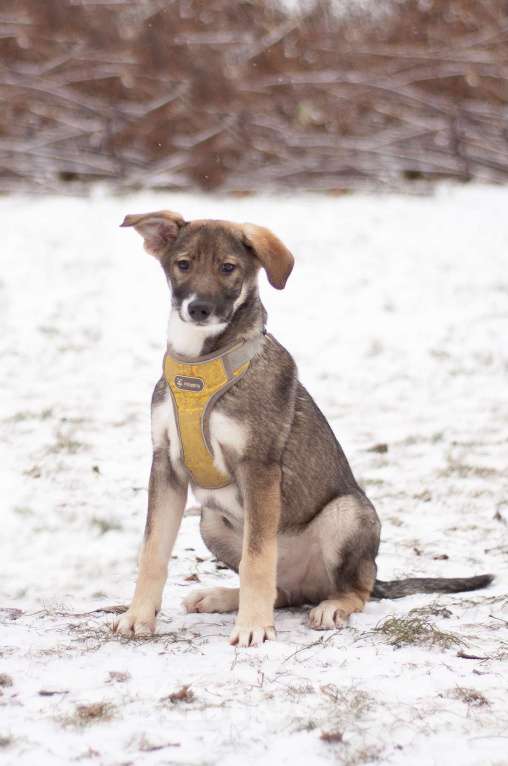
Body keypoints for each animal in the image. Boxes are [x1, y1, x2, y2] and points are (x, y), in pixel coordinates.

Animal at [113, 208, 494, 648]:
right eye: (184, 264)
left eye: (228, 268)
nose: (199, 309)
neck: (201, 363)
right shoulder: (166, 465)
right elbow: (152, 550)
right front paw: (137, 617)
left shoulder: (259, 467)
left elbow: (258, 557)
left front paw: (252, 628)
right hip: (210, 521)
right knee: (279, 590)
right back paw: (223, 596)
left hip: (346, 514)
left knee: (354, 589)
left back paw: (330, 607)